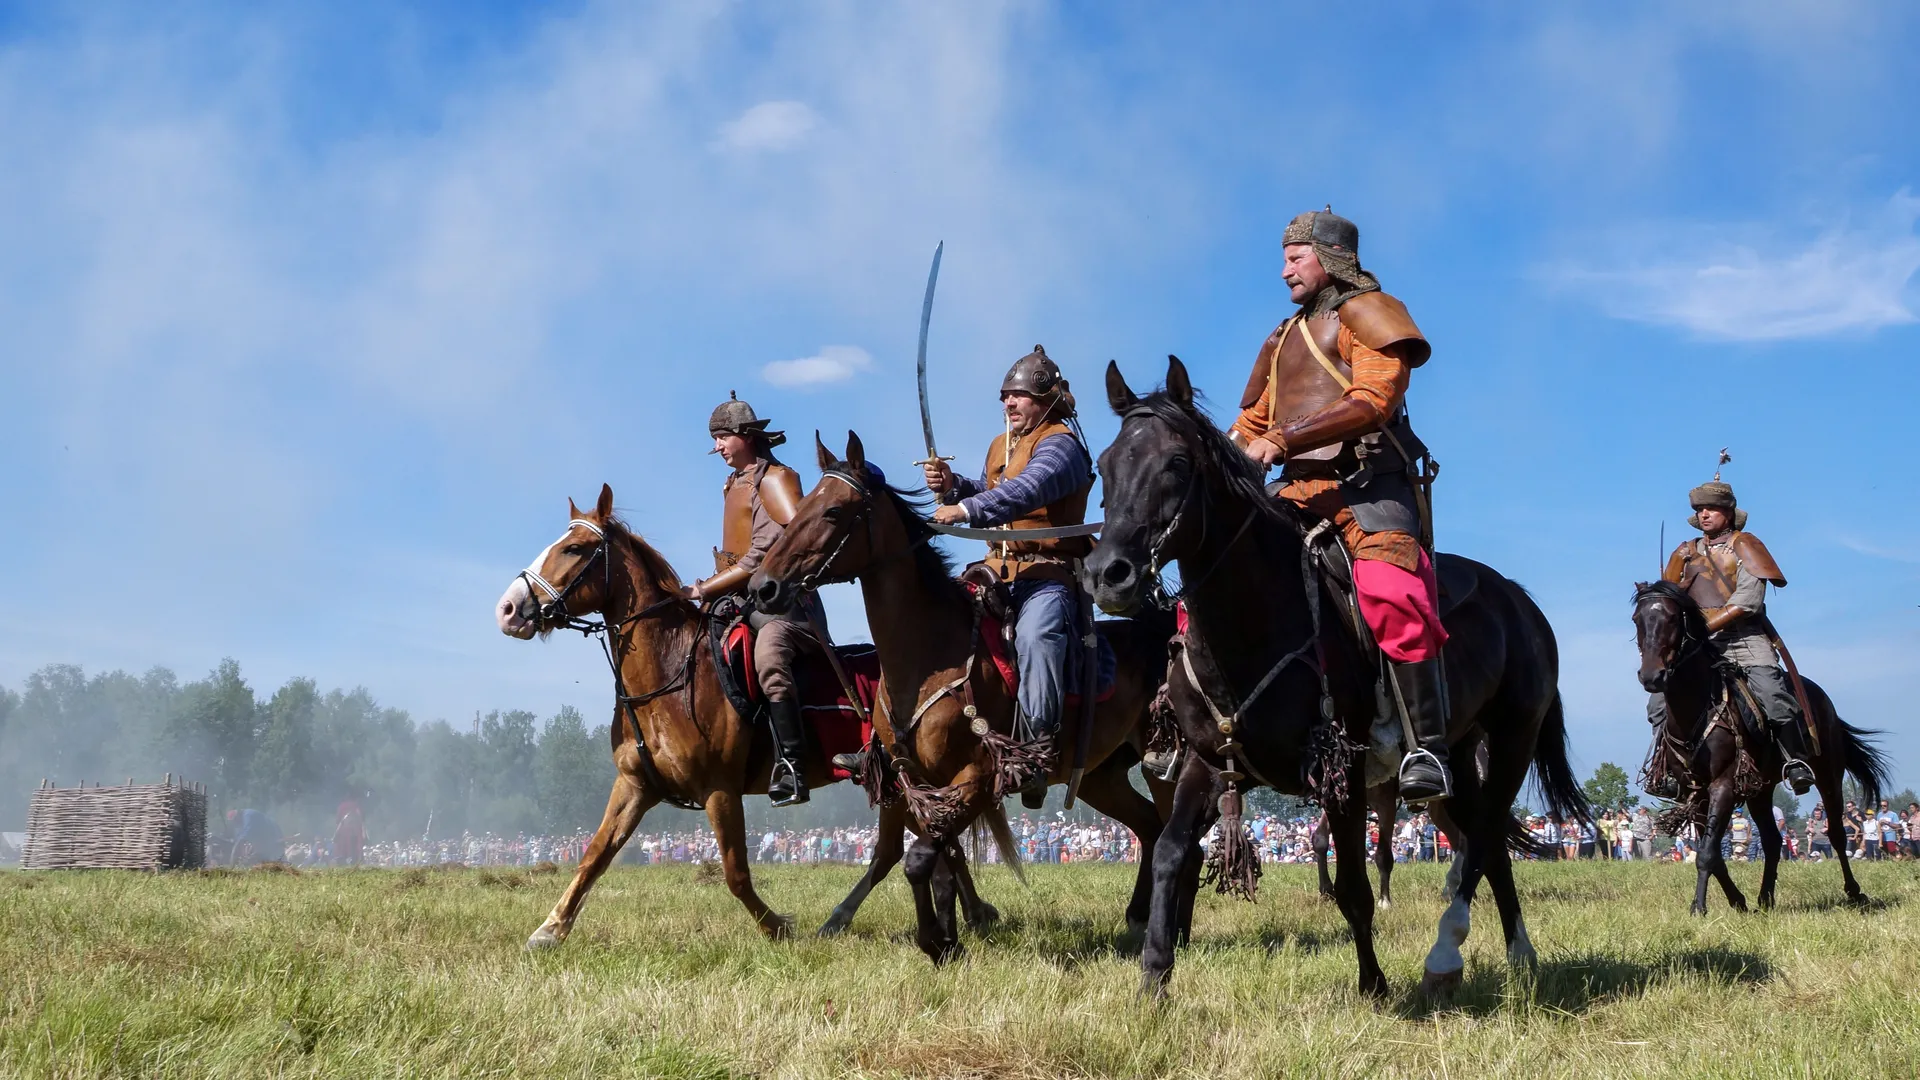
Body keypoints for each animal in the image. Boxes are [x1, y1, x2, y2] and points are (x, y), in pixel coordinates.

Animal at [494, 484, 1011, 947]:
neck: (670, 672)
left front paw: (777, 926)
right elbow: (595, 855)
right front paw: (550, 929)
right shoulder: (634, 786)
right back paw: (964, 914)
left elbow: (735, 872)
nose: (509, 609)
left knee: (917, 844)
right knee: (922, 843)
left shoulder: (719, 790)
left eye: (575, 548)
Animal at [748, 433, 1177, 964]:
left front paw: (936, 940)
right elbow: (940, 862)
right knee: (1149, 826)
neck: (926, 656)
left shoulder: (977, 777)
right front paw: (951, 937)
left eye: (833, 511)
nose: (763, 588)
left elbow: (918, 859)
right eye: (803, 504)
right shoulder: (919, 782)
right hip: (1102, 778)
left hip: (1165, 763)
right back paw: (1138, 918)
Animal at [1087, 358, 1588, 999]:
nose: (1109, 575)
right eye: (1105, 465)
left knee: (1483, 836)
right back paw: (1515, 953)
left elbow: (1353, 886)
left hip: (1511, 741)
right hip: (1459, 751)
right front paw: (1154, 976)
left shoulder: (1342, 774)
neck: (1257, 617)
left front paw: (1374, 984)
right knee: (1489, 842)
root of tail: (1520, 604)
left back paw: (1447, 952)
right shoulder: (1208, 759)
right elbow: (1172, 852)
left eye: (1176, 462)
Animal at [1630, 579, 1887, 913]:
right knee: (1772, 841)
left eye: (1673, 619)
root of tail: (1822, 698)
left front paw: (1699, 906)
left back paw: (1854, 892)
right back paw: (1765, 898)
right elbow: (1712, 852)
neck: (1695, 708)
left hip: (1828, 774)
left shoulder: (1723, 786)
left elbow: (1707, 853)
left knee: (1836, 833)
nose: (1652, 676)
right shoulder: (1693, 792)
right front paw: (1737, 900)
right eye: (1637, 620)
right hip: (1760, 791)